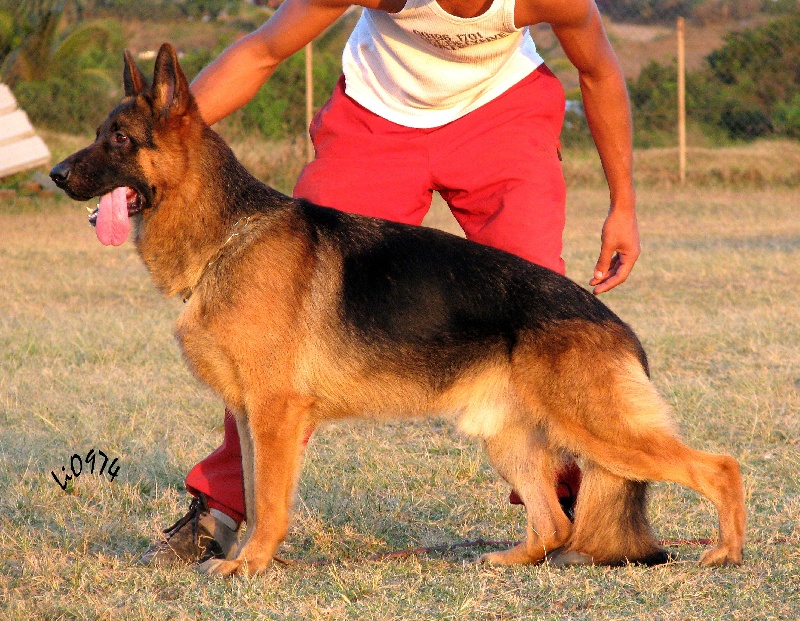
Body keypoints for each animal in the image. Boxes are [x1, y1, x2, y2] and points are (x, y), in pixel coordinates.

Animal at [53, 44, 748, 576]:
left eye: (119, 139)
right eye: (97, 135)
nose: (55, 175)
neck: (228, 234)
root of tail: (613, 323)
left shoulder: (275, 414)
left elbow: (271, 501)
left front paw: (249, 566)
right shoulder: (251, 417)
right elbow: (251, 489)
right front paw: (247, 557)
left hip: (598, 429)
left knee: (720, 467)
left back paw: (726, 553)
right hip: (510, 437)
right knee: (552, 522)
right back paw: (510, 559)